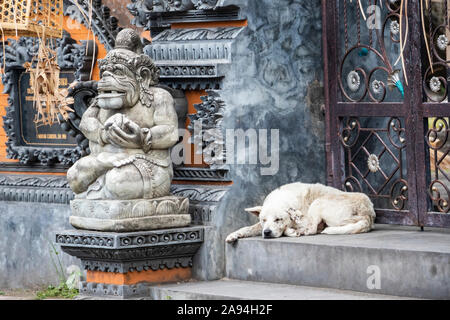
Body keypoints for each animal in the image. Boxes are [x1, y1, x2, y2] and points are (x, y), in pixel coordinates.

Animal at [225, 182, 376, 242]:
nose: (267, 233)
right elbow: (248, 228)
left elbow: (294, 227)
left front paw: (291, 230)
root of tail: (368, 214)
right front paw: (234, 235)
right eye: (263, 220)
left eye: (278, 219)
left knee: (312, 229)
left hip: (318, 203)